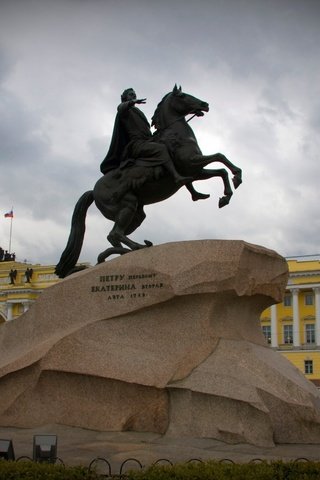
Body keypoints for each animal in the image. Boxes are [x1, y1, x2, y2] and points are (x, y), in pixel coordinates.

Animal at [55, 84, 241, 276]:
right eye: (182, 96)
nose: (205, 104)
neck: (176, 134)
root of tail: (93, 190)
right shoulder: (191, 162)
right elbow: (220, 157)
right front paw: (235, 179)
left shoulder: (196, 171)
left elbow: (221, 170)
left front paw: (225, 195)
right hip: (128, 204)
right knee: (115, 233)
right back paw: (137, 247)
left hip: (137, 215)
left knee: (114, 236)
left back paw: (121, 252)